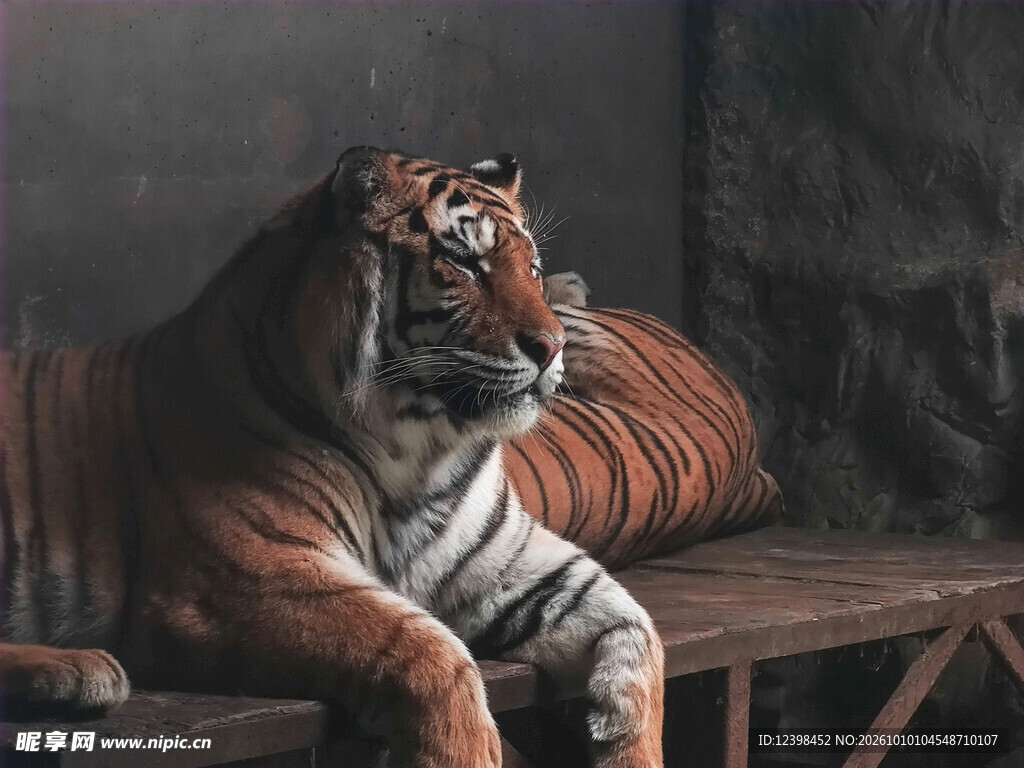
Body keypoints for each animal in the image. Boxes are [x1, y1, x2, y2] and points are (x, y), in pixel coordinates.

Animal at [0, 148, 671, 768]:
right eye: (463, 262)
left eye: (531, 268)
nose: (552, 345)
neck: (422, 454)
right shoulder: (250, 578)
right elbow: (432, 651)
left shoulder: (512, 566)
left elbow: (639, 632)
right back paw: (83, 671)